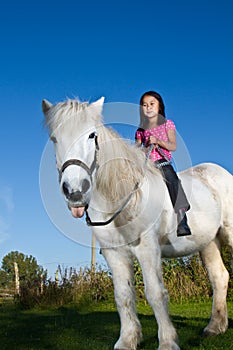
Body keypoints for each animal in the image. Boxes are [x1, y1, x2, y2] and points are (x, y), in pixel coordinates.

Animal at [42, 96, 233, 350]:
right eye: (54, 138)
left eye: (92, 135)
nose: (75, 191)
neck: (122, 197)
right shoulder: (114, 253)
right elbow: (123, 295)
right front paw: (127, 340)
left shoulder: (147, 248)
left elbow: (155, 293)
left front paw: (168, 342)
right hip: (209, 242)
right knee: (219, 277)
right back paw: (215, 327)